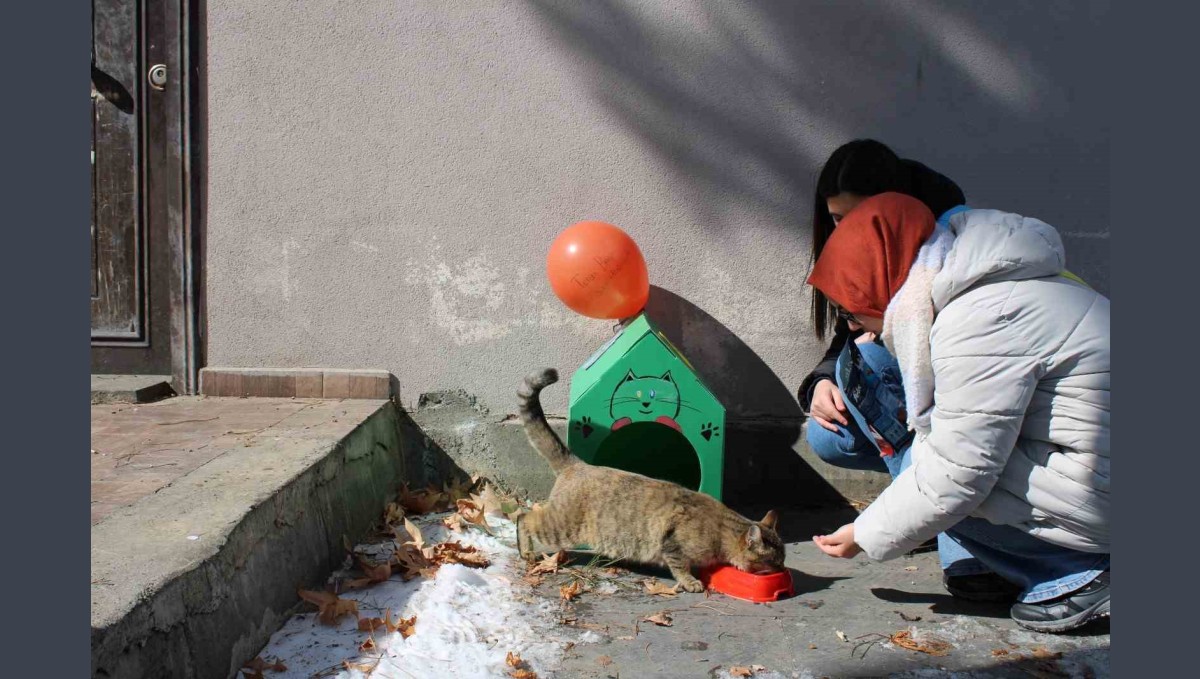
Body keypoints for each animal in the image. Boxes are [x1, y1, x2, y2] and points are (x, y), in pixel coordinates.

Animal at [516, 369, 787, 592]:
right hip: (562, 526)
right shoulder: (673, 545)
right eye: (775, 561)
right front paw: (691, 582)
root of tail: (577, 463)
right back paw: (526, 551)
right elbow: (680, 566)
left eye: (783, 559)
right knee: (524, 517)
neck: (722, 529)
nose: (783, 569)